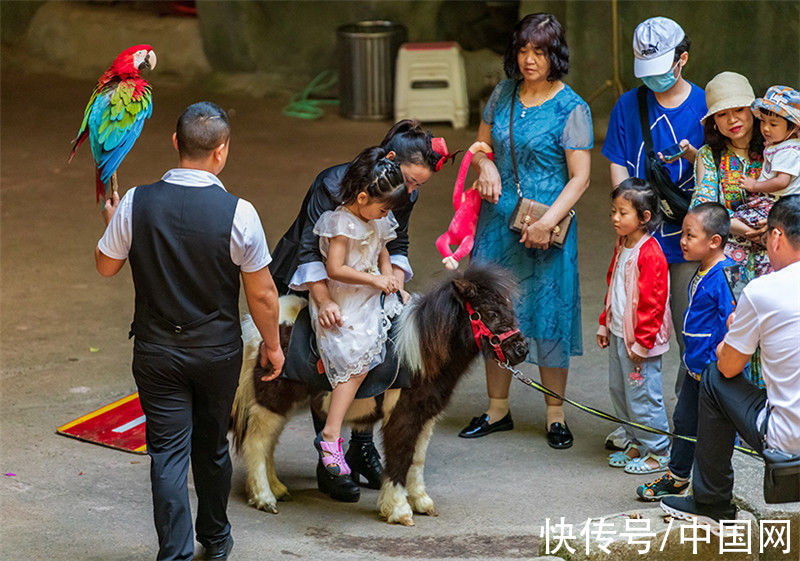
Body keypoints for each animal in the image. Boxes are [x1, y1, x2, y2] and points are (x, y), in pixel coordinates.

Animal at [228, 264, 528, 524]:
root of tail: (256, 328)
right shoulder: (402, 416)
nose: (521, 350)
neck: (419, 354)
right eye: (490, 312)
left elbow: (416, 459)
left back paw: (277, 489)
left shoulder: (425, 417)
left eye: (509, 308)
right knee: (257, 444)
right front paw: (398, 510)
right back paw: (264, 498)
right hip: (271, 403)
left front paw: (421, 502)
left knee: (267, 445)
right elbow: (399, 457)